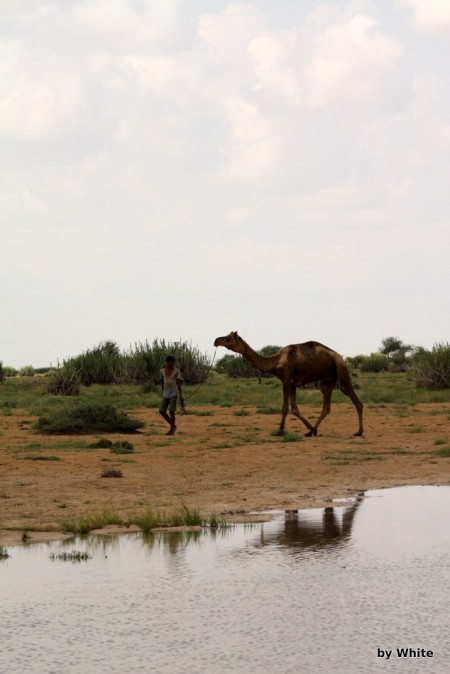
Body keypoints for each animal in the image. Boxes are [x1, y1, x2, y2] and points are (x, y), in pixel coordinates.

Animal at [213, 330, 364, 436]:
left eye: (228, 338)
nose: (216, 340)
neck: (276, 362)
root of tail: (340, 357)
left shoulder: (286, 381)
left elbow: (285, 407)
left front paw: (279, 431)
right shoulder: (293, 384)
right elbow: (295, 409)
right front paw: (310, 430)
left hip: (341, 370)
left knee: (355, 399)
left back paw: (359, 432)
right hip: (328, 379)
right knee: (326, 406)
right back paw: (311, 431)